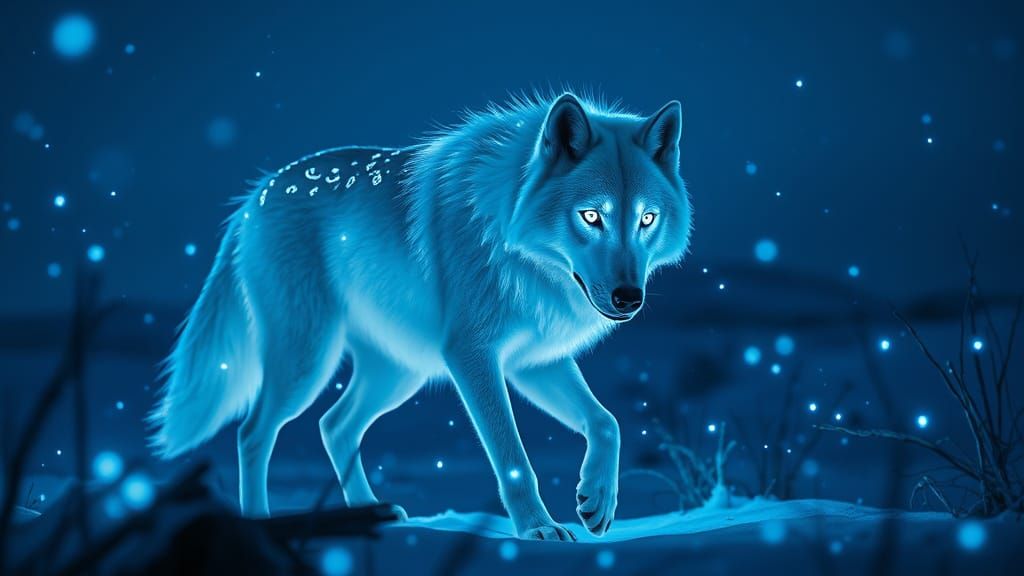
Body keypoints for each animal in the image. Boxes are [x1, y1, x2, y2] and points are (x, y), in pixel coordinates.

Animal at [148, 92, 692, 540]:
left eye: (646, 218)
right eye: (591, 216)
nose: (628, 298)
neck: (507, 236)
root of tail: (255, 197)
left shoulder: (533, 363)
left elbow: (607, 422)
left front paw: (596, 503)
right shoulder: (473, 358)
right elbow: (513, 457)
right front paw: (537, 529)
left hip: (399, 373)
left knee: (334, 425)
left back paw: (370, 513)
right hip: (309, 361)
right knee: (253, 432)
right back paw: (262, 524)